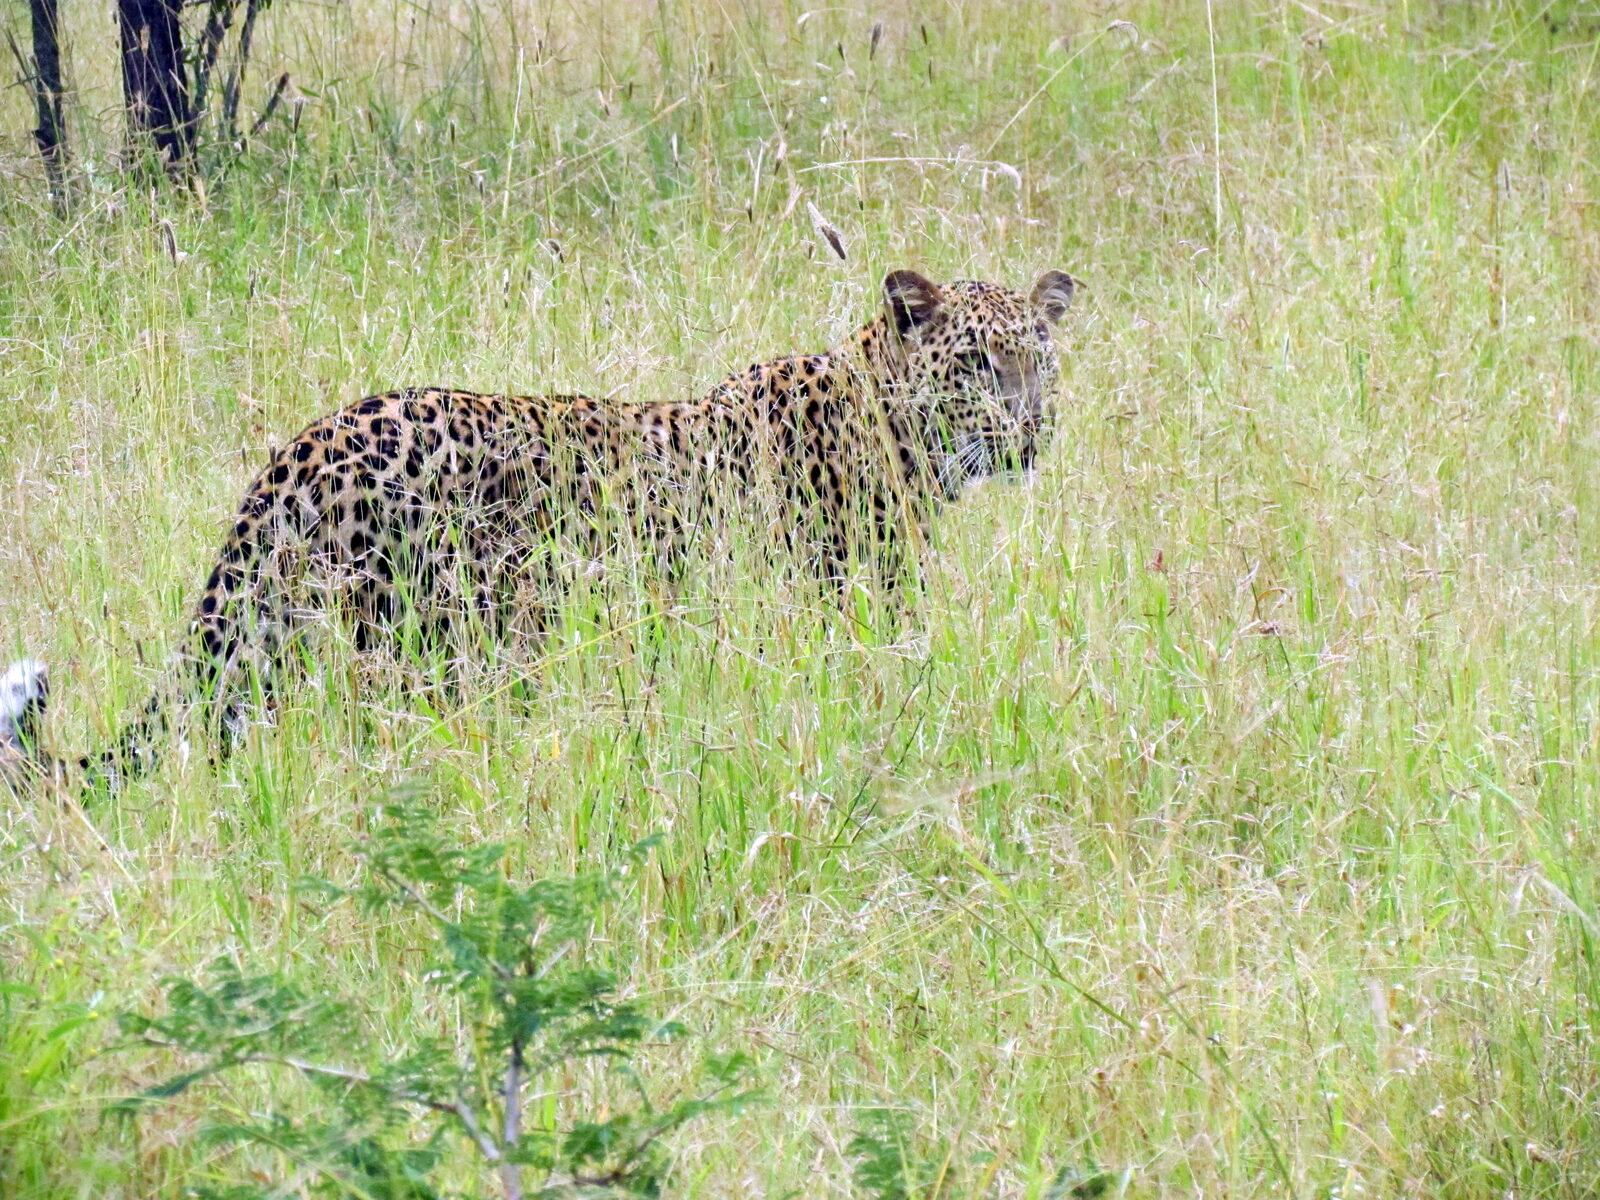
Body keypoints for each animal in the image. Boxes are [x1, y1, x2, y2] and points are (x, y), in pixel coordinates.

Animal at [1, 267, 1077, 792]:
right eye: (978, 364)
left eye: (1041, 358)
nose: (1031, 427)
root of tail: (304, 448)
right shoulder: (846, 604)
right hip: (418, 645)